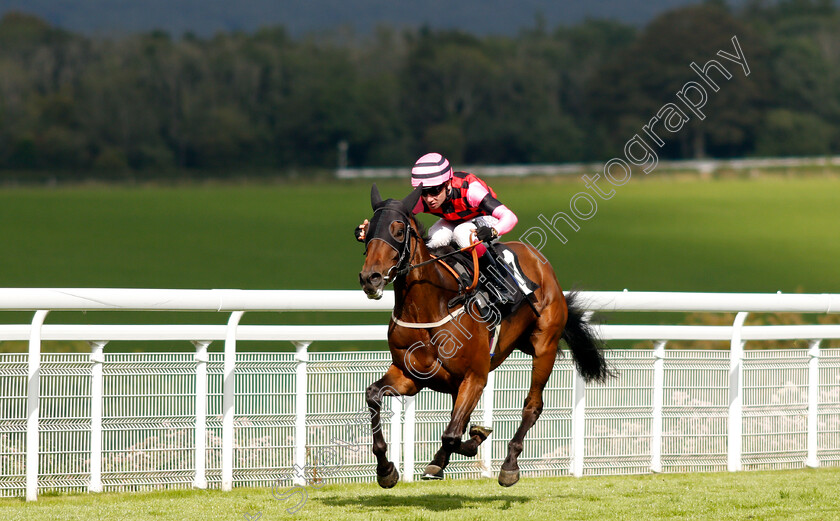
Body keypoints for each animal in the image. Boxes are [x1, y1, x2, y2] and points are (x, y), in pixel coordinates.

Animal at [358, 184, 608, 488]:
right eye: (367, 231)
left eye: (397, 230)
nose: (370, 278)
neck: (430, 306)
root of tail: (540, 262)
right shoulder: (410, 376)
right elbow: (373, 395)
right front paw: (386, 469)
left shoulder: (476, 376)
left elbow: (454, 434)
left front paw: (477, 438)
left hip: (544, 346)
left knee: (532, 405)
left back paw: (509, 465)